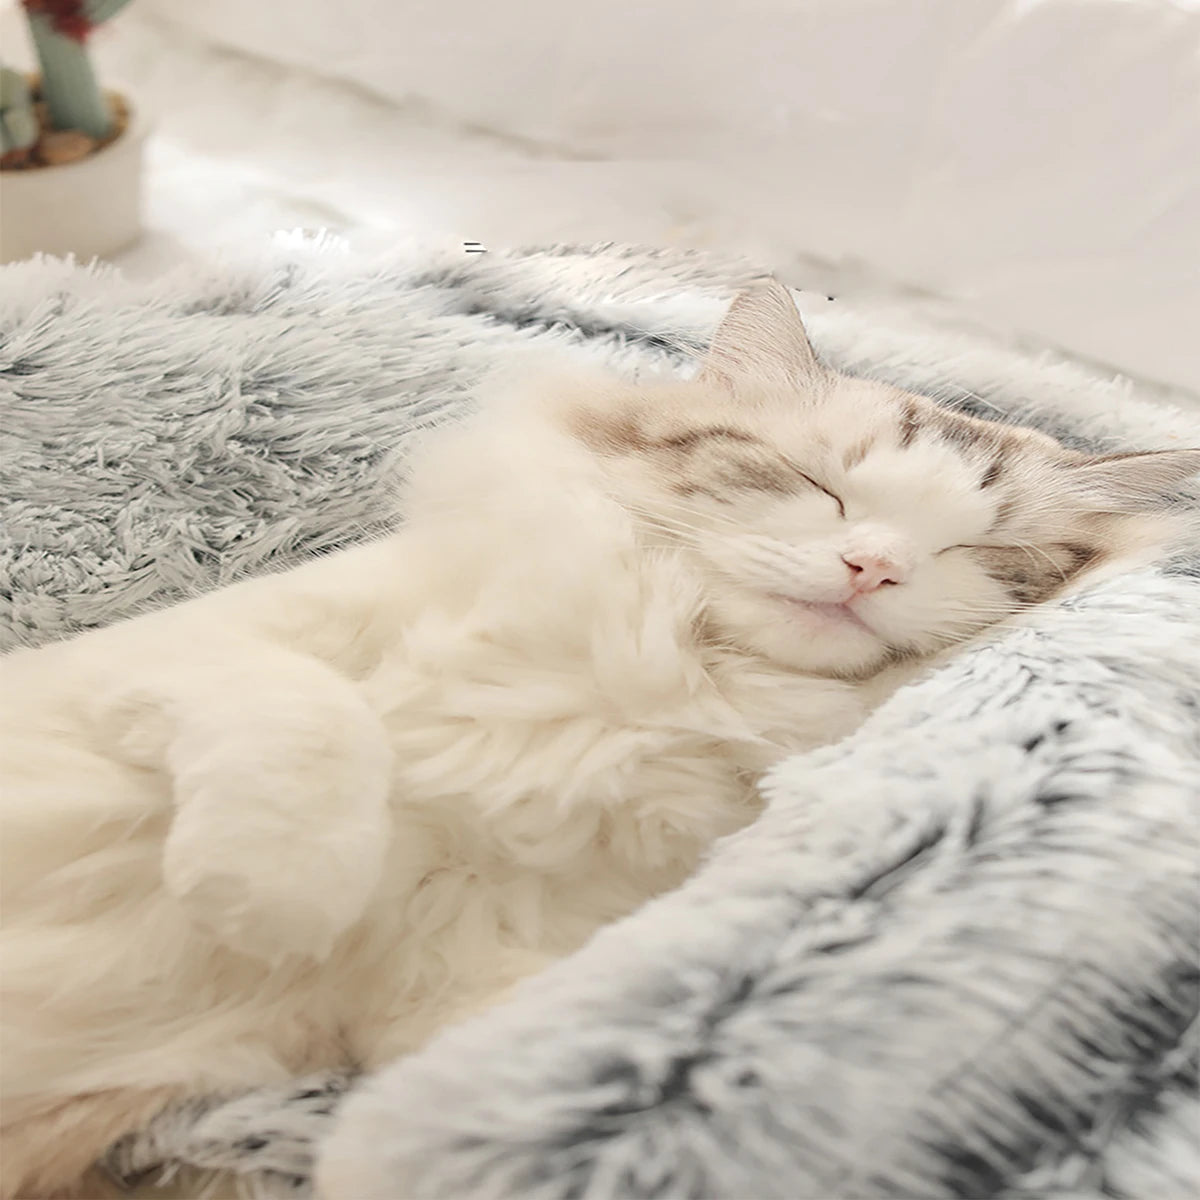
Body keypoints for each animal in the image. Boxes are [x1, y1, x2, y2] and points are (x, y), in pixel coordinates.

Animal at [2, 280, 1200, 1200]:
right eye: (818, 487)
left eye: (974, 553)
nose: (873, 569)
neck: (668, 669)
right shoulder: (170, 663)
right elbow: (313, 708)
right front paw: (276, 892)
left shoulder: (472, 956)